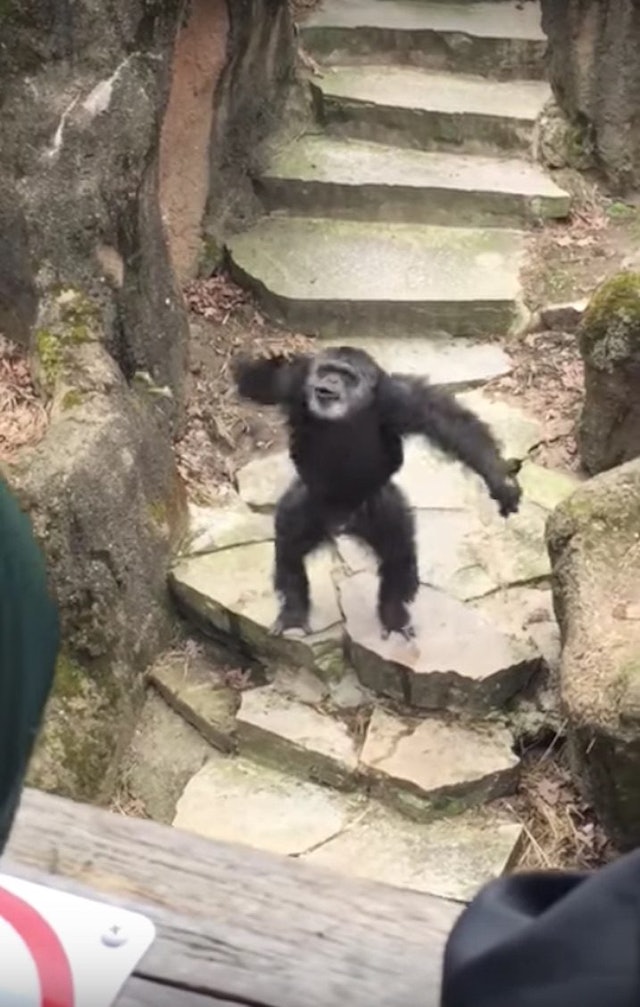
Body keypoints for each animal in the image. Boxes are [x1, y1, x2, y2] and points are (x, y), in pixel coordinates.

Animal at [232, 346, 523, 640]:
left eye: (346, 375)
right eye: (326, 370)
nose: (330, 382)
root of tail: (341, 523)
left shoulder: (401, 400)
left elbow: (449, 423)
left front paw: (499, 480)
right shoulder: (294, 385)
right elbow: (257, 385)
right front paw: (269, 358)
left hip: (379, 507)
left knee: (398, 553)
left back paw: (394, 617)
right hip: (311, 504)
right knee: (290, 545)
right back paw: (293, 613)